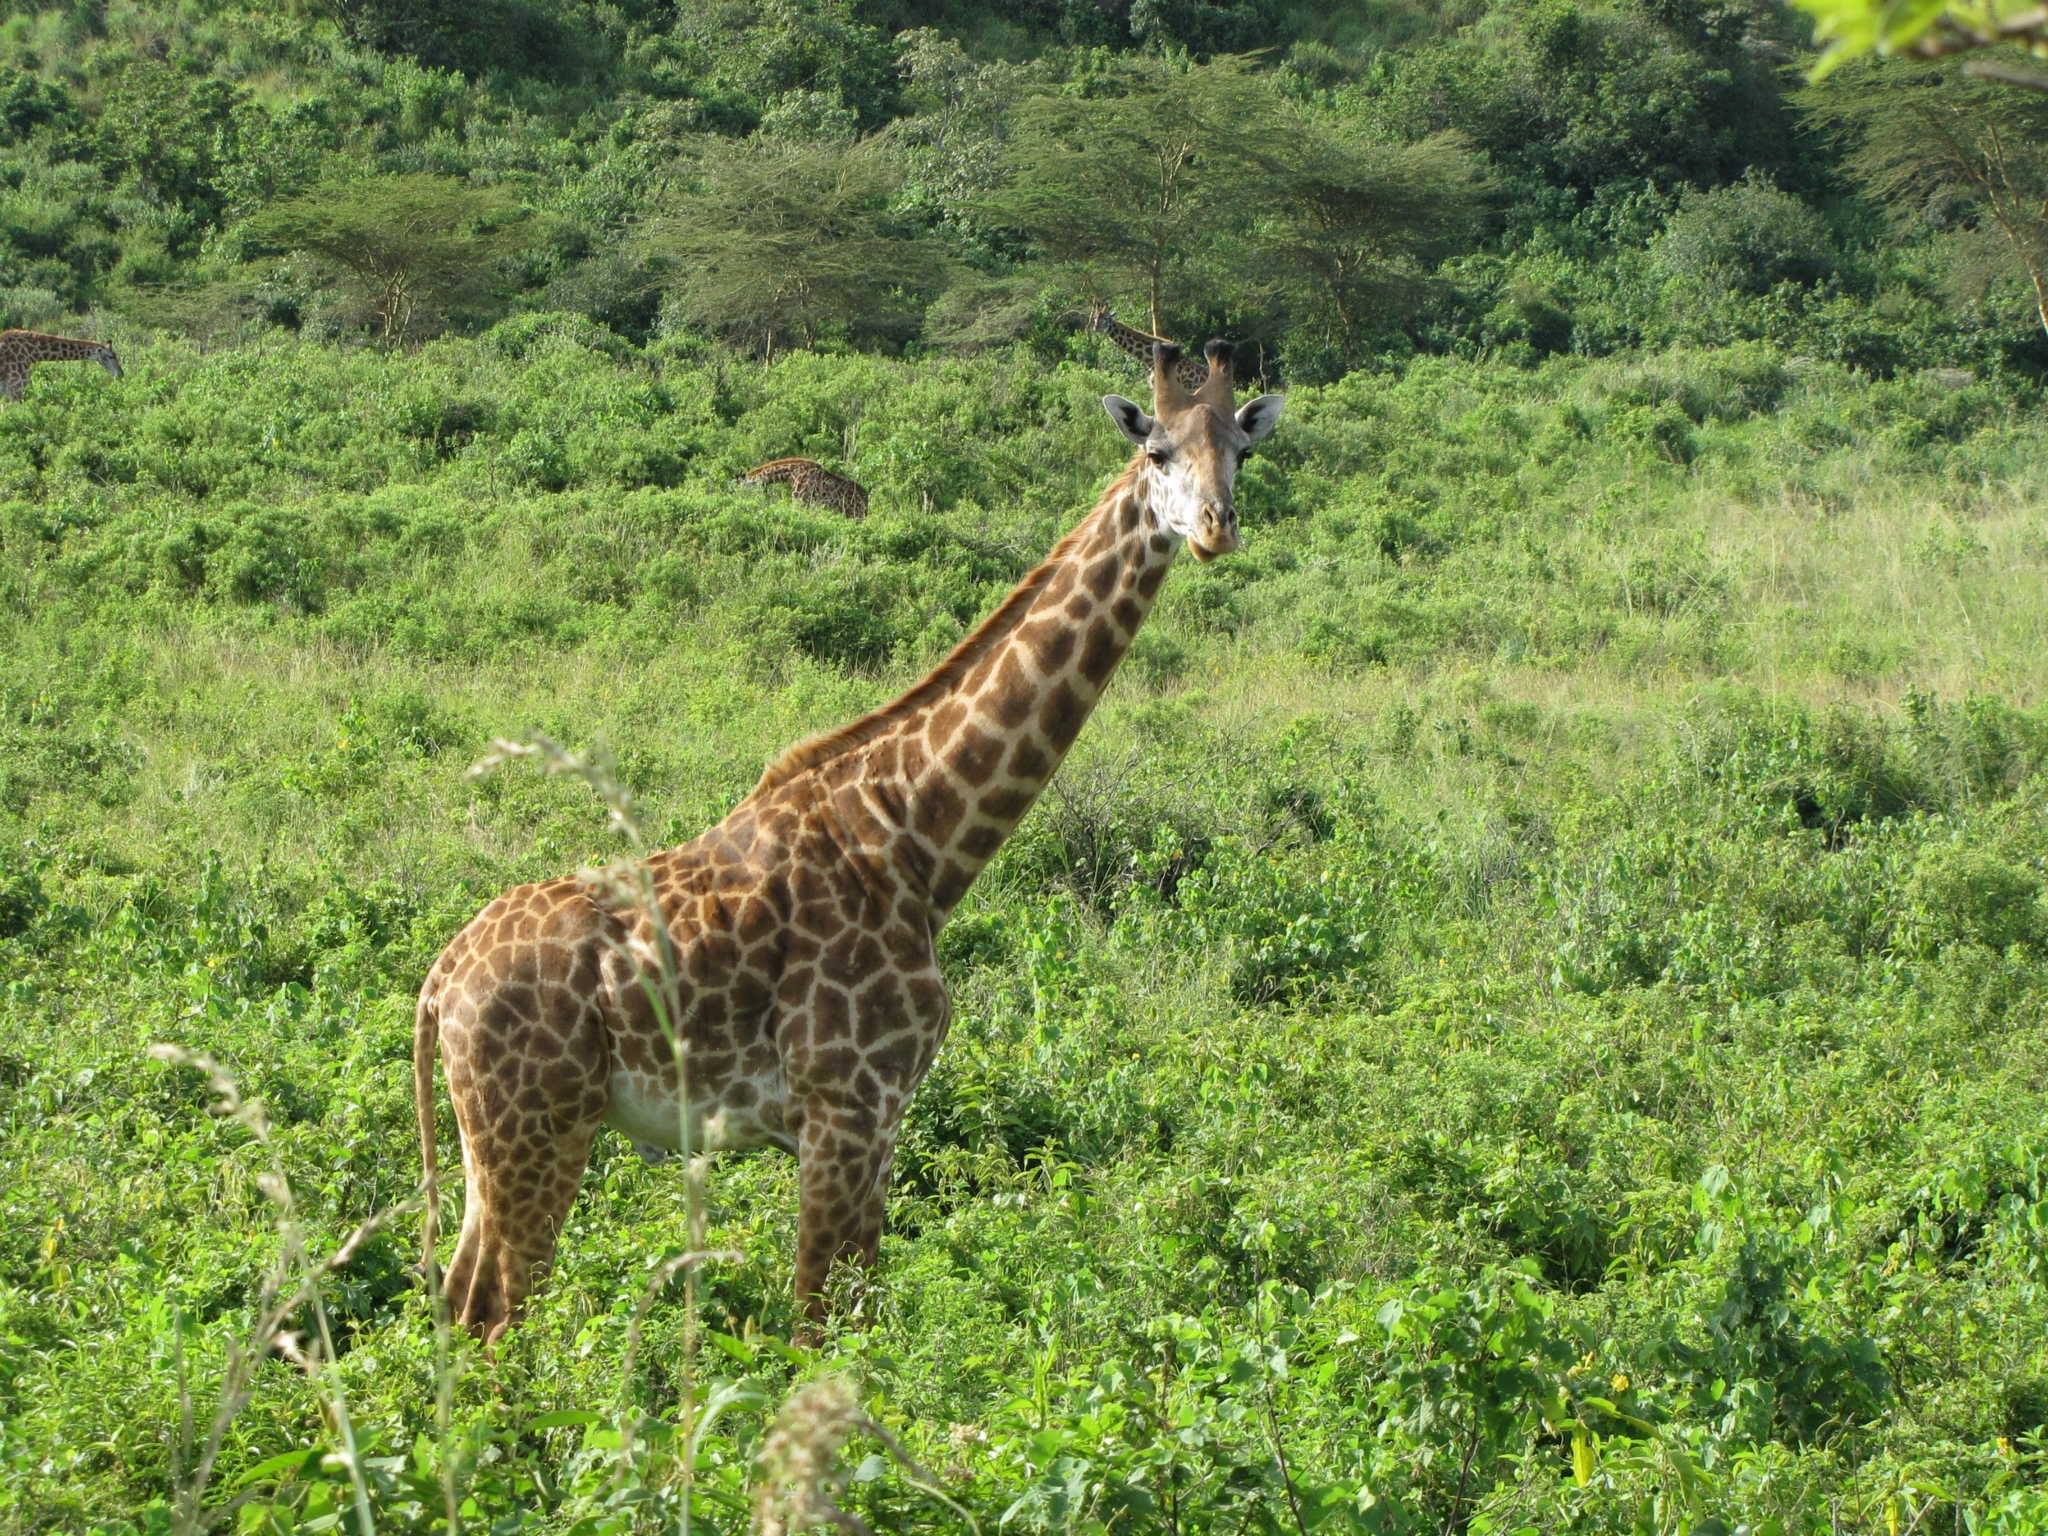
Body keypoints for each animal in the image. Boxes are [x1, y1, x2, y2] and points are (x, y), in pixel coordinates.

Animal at [413, 339, 1277, 1343]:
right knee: (497, 1314)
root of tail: (439, 980)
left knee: (456, 1298)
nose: (1216, 529)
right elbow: (817, 1325)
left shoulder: (885, 1120)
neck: (918, 840)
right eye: (1156, 453)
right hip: (539, 1128)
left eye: (1242, 452)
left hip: (489, 1143)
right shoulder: (842, 1111)